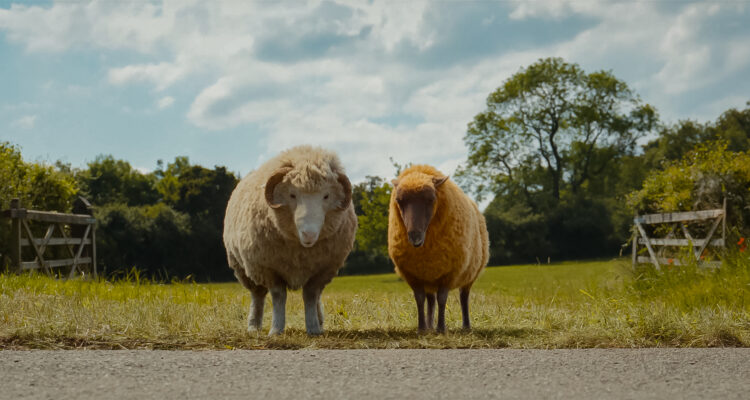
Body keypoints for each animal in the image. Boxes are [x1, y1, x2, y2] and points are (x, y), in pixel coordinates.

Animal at [223, 145, 357, 336]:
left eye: (326, 196)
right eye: (292, 195)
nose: (309, 234)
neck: (300, 250)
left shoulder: (322, 270)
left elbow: (310, 296)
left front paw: (313, 328)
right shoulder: (269, 269)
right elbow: (279, 296)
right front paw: (276, 329)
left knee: (316, 297)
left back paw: (320, 321)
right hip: (244, 269)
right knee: (257, 296)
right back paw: (253, 326)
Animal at [388, 164, 489, 333]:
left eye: (431, 199)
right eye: (399, 201)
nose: (415, 237)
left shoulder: (449, 273)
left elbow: (442, 299)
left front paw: (441, 328)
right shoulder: (413, 275)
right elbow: (420, 299)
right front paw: (422, 328)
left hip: (469, 274)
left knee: (464, 297)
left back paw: (466, 326)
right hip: (429, 275)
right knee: (430, 300)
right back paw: (430, 326)